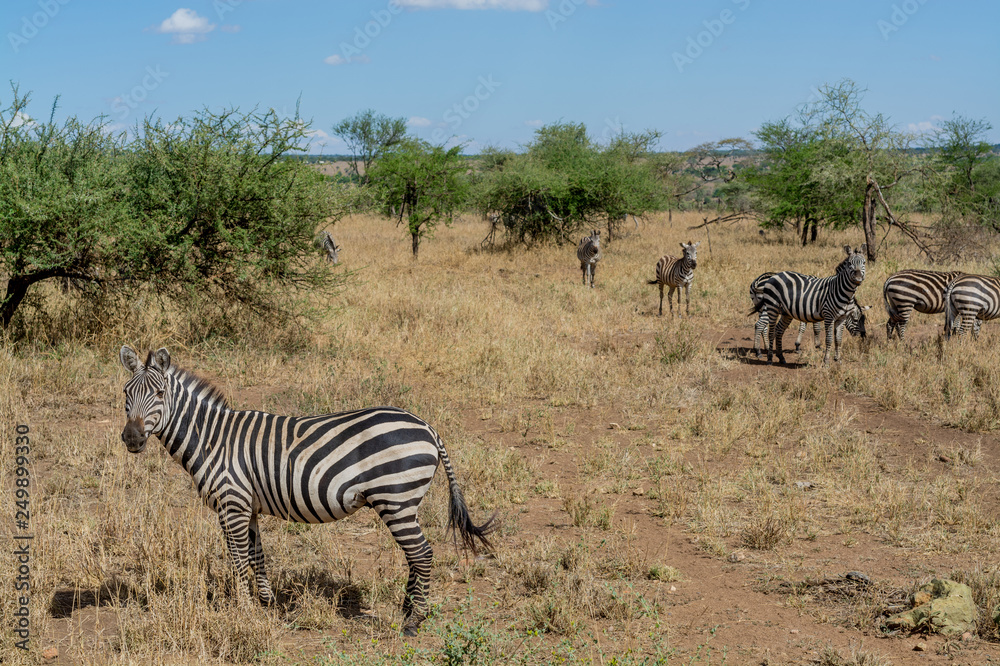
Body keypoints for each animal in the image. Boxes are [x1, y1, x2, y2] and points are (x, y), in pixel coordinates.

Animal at [118, 345, 495, 636]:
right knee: (415, 555)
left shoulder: (232, 504)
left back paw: (413, 621)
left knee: (423, 553)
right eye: (125, 395)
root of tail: (427, 426)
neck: (212, 439)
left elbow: (238, 560)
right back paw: (407, 609)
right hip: (403, 503)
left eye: (159, 394)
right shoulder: (249, 507)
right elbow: (257, 556)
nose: (132, 439)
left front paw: (243, 611)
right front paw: (266, 605)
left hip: (396, 499)